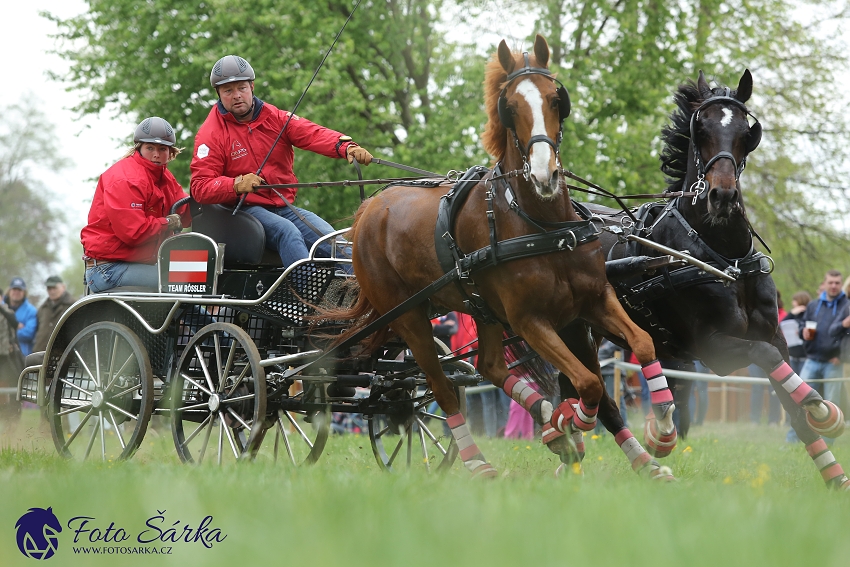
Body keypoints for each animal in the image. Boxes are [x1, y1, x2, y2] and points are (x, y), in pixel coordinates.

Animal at [334, 35, 672, 480]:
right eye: (509, 107)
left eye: (555, 99)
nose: (545, 175)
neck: (544, 228)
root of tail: (370, 207)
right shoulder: (531, 320)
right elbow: (590, 384)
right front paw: (571, 421)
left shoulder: (595, 301)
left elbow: (644, 345)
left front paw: (660, 434)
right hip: (409, 315)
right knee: (443, 387)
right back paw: (481, 460)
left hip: (482, 308)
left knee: (489, 365)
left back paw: (549, 423)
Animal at [548, 70, 840, 488]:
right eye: (700, 129)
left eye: (746, 131)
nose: (722, 196)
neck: (723, 256)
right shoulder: (713, 348)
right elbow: (764, 357)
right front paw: (821, 406)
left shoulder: (775, 336)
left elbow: (790, 398)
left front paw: (833, 471)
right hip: (575, 332)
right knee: (598, 395)